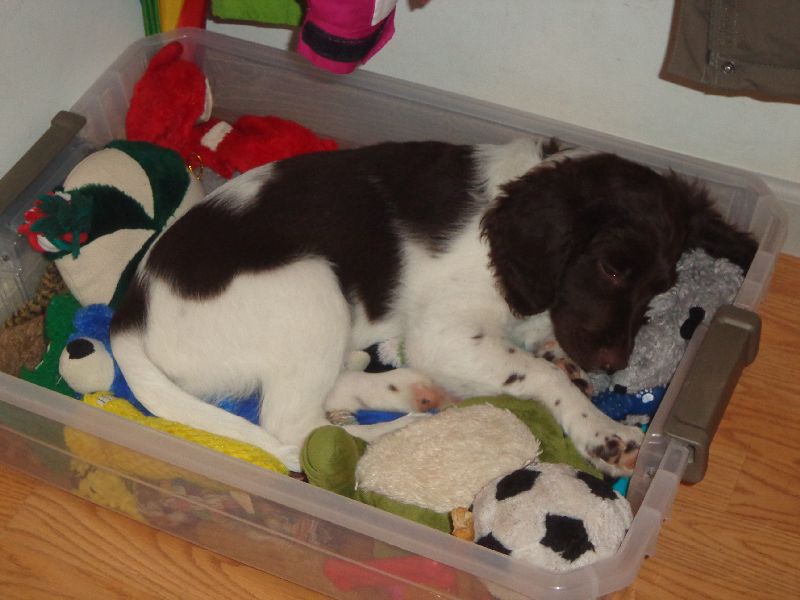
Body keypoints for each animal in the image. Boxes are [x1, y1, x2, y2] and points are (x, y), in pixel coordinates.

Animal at [110, 138, 757, 474]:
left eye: (661, 287)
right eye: (612, 268)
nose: (614, 365)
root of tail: (129, 311)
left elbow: (542, 347)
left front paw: (562, 358)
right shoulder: (444, 333)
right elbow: (540, 374)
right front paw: (602, 429)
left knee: (319, 393)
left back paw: (406, 390)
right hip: (312, 285)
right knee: (293, 427)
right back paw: (403, 431)